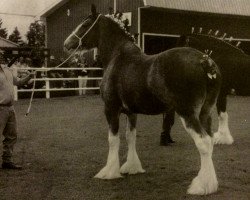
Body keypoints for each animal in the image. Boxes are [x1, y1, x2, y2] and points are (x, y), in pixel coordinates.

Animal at [63, 6, 222, 195]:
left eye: (85, 24)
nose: (67, 44)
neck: (118, 57)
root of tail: (205, 61)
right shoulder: (131, 112)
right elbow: (130, 136)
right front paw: (132, 167)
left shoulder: (111, 109)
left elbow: (113, 139)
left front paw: (109, 172)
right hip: (205, 112)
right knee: (210, 141)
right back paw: (211, 184)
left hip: (188, 113)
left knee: (203, 142)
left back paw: (200, 186)